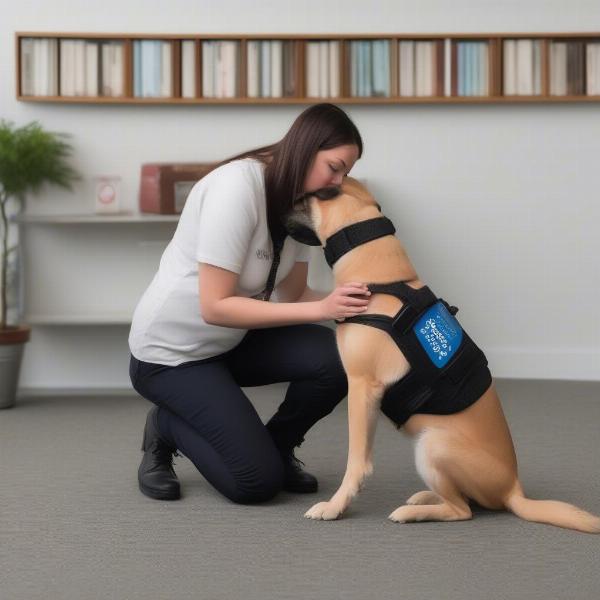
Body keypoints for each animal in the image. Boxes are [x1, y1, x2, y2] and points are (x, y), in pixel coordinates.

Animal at [284, 176, 600, 532]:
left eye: (301, 199)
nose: (277, 210)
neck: (384, 279)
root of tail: (513, 491)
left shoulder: (363, 387)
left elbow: (356, 462)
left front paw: (336, 505)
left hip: (432, 443)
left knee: (462, 510)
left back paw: (414, 512)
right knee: (463, 500)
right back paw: (425, 497)